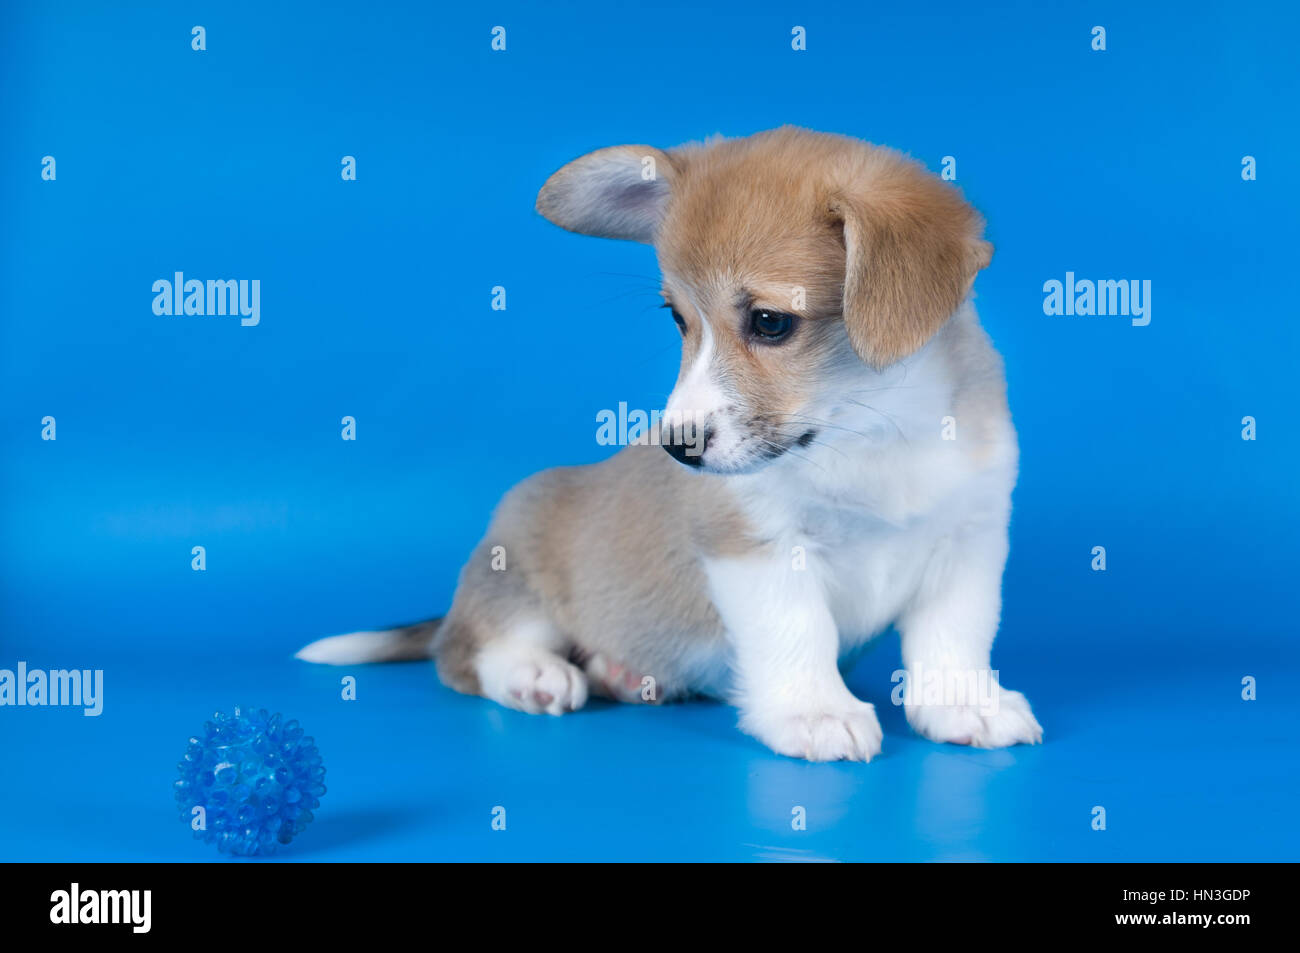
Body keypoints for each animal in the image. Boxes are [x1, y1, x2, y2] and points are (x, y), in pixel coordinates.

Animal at [299, 124, 1040, 759]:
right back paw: (534, 674)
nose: (677, 447)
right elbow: (798, 633)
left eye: (770, 322)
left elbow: (954, 640)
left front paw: (964, 704)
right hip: (517, 566)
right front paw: (815, 712)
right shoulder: (757, 548)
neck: (872, 430)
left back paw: (621, 673)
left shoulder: (968, 543)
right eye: (677, 318)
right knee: (465, 651)